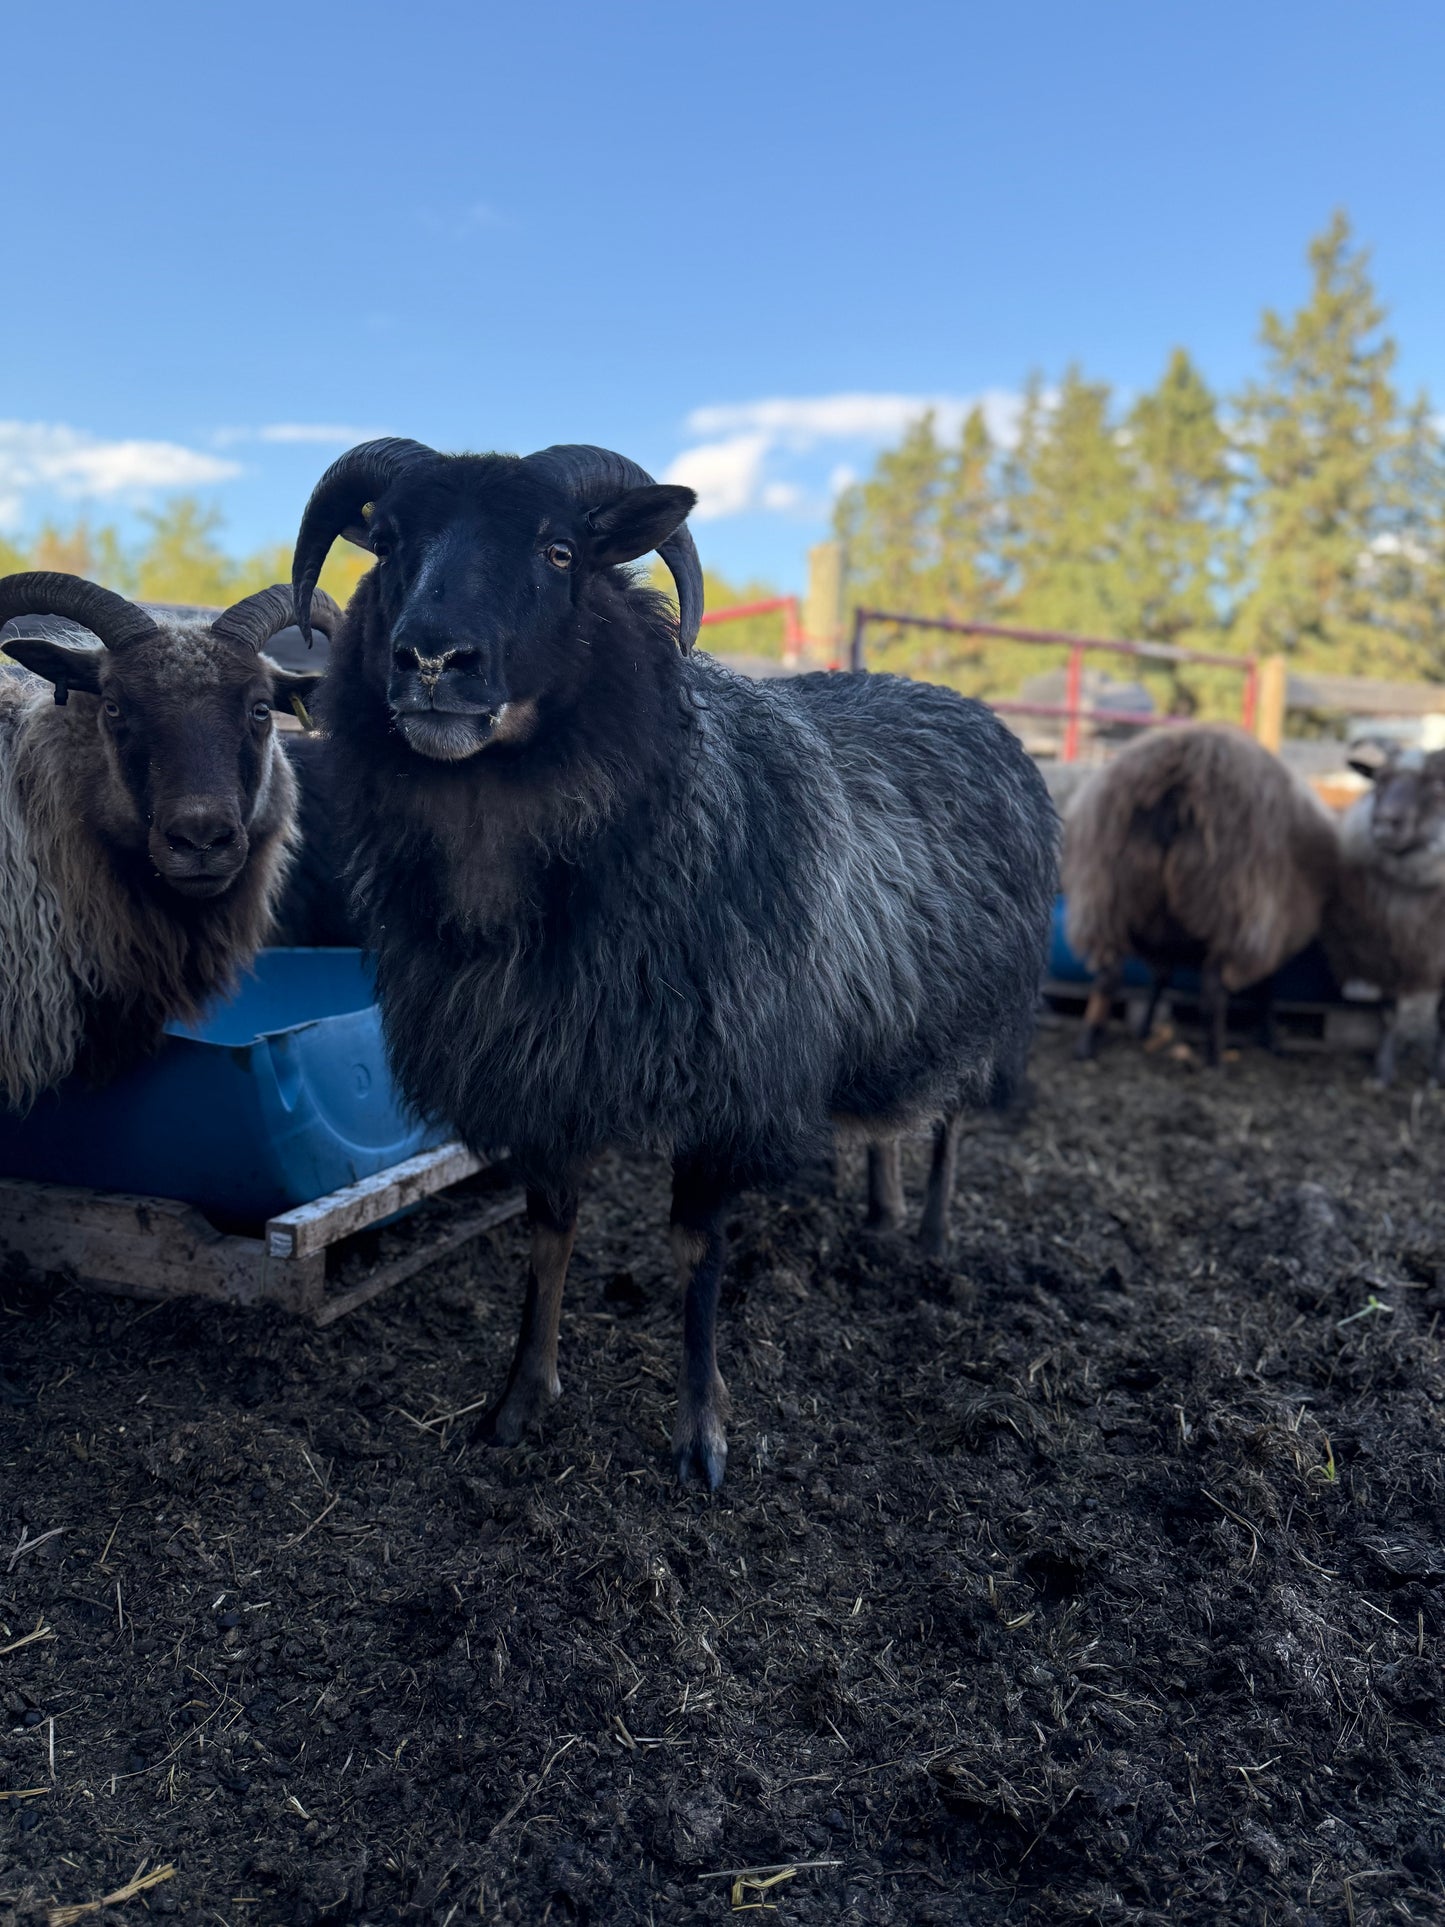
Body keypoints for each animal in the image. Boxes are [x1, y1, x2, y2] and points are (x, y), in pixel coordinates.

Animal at [291, 436, 1058, 1489]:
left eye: (561, 550)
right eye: (393, 538)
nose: (433, 660)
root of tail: (962, 703)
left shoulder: (725, 1087)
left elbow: (696, 1260)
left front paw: (701, 1437)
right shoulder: (542, 1074)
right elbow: (548, 1237)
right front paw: (518, 1402)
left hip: (977, 1006)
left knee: (948, 1120)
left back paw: (934, 1239)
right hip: (885, 1005)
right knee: (892, 1117)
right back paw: (879, 1211)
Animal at [1061, 724, 1338, 1065]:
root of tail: (1182, 774)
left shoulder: (1161, 936)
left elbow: (1161, 978)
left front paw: (1145, 1025)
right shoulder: (1275, 928)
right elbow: (1265, 988)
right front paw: (1270, 1036)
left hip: (1107, 895)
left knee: (1107, 977)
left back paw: (1087, 1042)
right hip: (1235, 912)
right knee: (1213, 990)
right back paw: (1216, 1058)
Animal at [1322, 744, 1445, 1085]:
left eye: (1438, 787)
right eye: (1378, 782)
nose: (1384, 823)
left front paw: (1438, 1075)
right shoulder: (1387, 954)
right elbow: (1388, 1015)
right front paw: (1382, 1073)